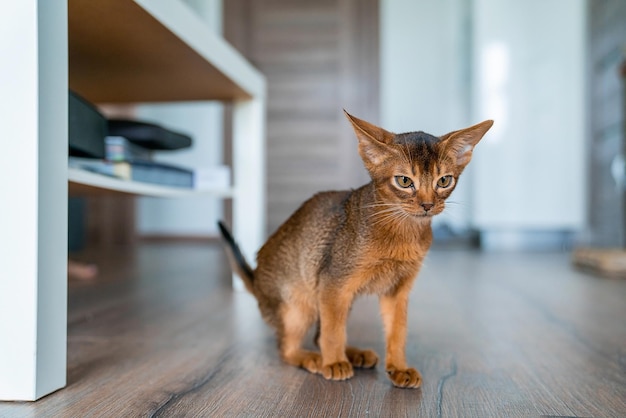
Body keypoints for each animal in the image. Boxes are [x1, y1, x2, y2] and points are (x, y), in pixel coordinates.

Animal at [217, 110, 490, 388]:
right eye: (404, 181)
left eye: (444, 180)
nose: (427, 205)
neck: (402, 232)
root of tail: (256, 281)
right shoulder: (333, 282)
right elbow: (333, 332)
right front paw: (334, 363)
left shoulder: (397, 290)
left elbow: (397, 332)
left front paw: (399, 368)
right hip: (300, 304)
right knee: (287, 347)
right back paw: (317, 359)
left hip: (338, 300)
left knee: (318, 334)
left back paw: (354, 354)